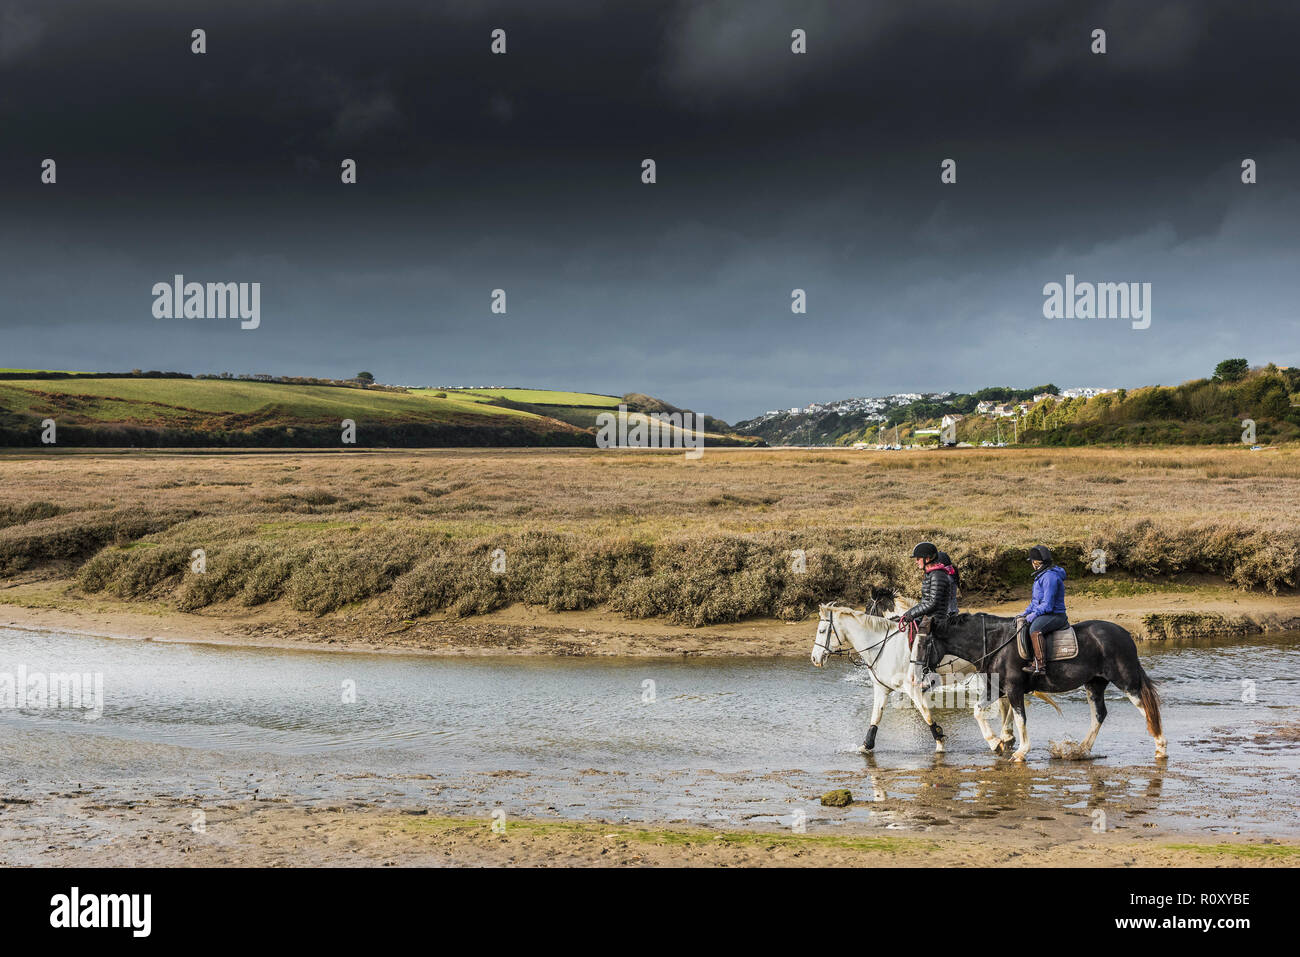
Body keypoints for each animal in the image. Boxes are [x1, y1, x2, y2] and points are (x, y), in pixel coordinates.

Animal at [811, 605, 1013, 754]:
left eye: (821, 631)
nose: (814, 659)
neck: (883, 647)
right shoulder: (882, 689)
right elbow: (876, 717)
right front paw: (866, 746)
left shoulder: (913, 688)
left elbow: (926, 715)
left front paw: (940, 743)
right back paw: (1007, 736)